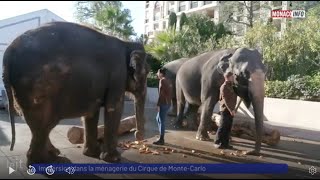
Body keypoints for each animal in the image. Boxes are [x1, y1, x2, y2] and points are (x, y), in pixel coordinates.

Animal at [2, 21, 150, 165]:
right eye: (147, 73)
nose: (138, 136)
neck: (126, 43)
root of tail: (9, 50)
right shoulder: (117, 75)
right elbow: (114, 108)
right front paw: (113, 159)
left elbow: (92, 113)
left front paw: (92, 154)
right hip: (37, 88)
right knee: (44, 123)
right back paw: (52, 161)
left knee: (35, 123)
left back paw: (53, 155)